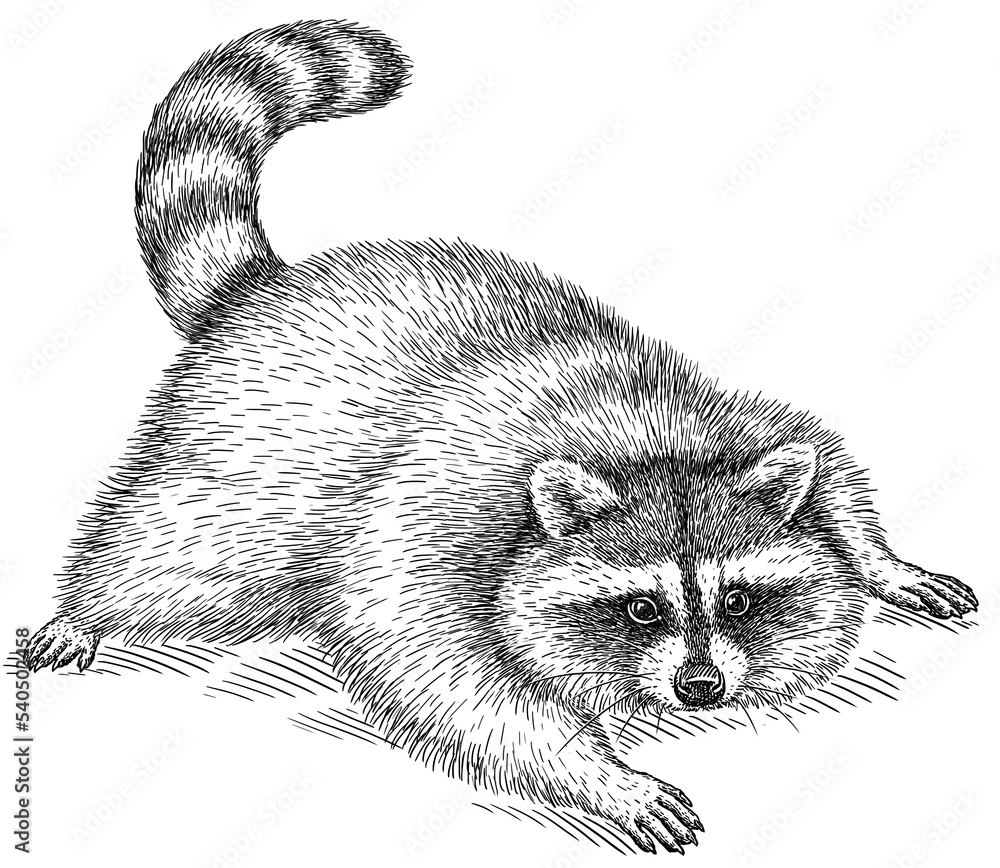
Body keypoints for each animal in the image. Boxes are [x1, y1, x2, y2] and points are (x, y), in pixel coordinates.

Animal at [26, 20, 976, 853]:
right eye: (640, 607)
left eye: (739, 600)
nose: (700, 688)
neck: (645, 450)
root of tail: (266, 291)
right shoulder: (435, 528)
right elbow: (446, 677)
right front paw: (601, 775)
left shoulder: (733, 419)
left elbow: (831, 467)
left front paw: (884, 562)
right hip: (240, 467)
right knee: (161, 552)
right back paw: (85, 607)